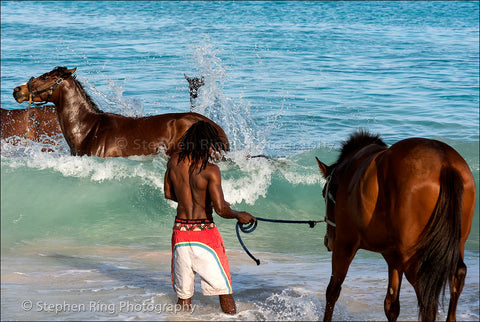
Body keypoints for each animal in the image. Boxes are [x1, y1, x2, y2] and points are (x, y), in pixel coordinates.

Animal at [316, 131, 476, 322]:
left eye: (324, 193)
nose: (328, 240)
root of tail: (445, 163)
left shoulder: (346, 243)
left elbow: (333, 290)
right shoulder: (392, 255)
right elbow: (391, 304)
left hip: (411, 257)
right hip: (456, 244)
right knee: (457, 275)